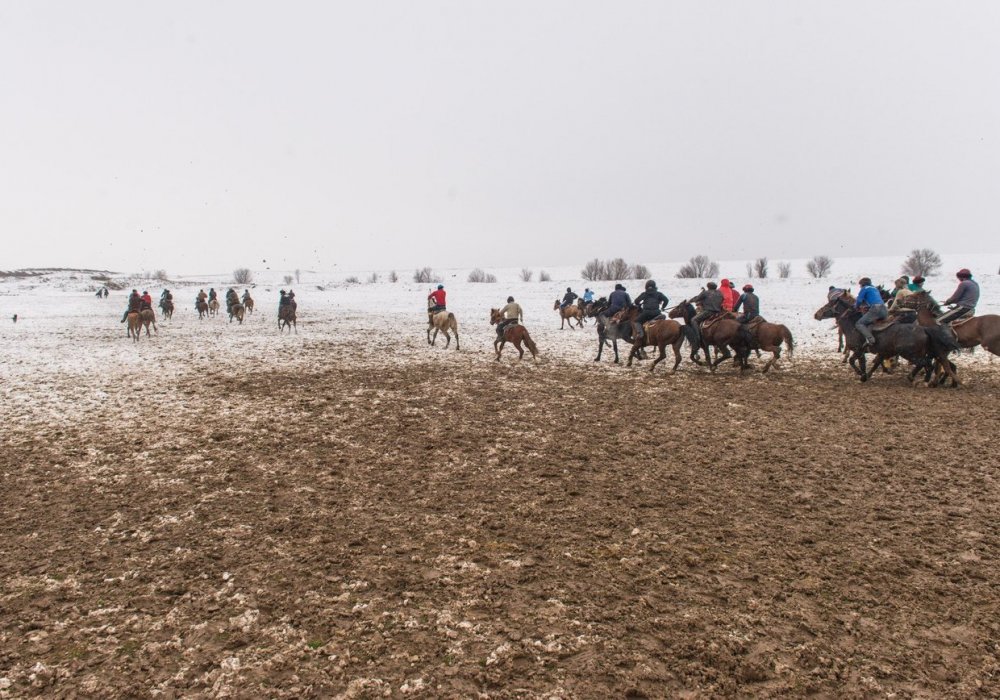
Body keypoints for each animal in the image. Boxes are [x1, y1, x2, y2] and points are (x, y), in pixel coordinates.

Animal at [812, 292, 960, 386]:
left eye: (828, 305)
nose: (816, 314)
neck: (853, 324)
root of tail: (924, 329)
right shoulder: (871, 352)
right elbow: (866, 363)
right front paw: (865, 376)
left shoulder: (859, 350)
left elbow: (853, 361)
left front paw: (862, 375)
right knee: (934, 364)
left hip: (909, 353)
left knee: (926, 364)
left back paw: (921, 379)